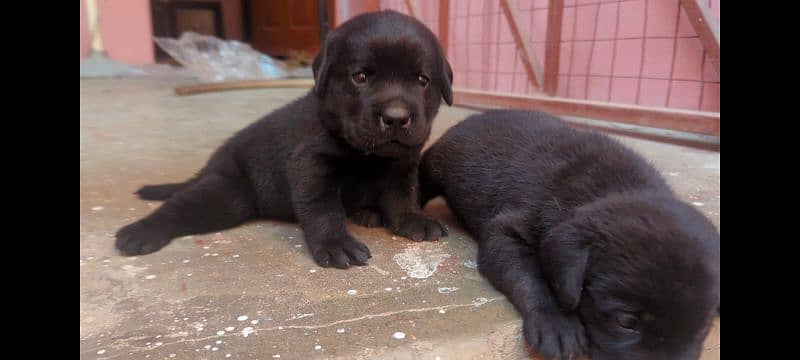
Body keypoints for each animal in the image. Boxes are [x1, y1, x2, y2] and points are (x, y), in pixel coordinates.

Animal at [113, 9, 454, 268]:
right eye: (360, 77)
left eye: (422, 80)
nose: (396, 117)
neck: (366, 154)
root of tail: (210, 166)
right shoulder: (311, 165)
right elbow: (322, 207)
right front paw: (335, 243)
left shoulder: (403, 162)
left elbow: (403, 194)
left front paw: (412, 219)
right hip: (227, 193)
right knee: (178, 206)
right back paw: (141, 232)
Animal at [422, 110, 720, 360]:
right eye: (625, 323)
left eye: (704, 326)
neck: (616, 188)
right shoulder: (507, 232)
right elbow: (530, 276)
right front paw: (555, 320)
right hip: (436, 163)